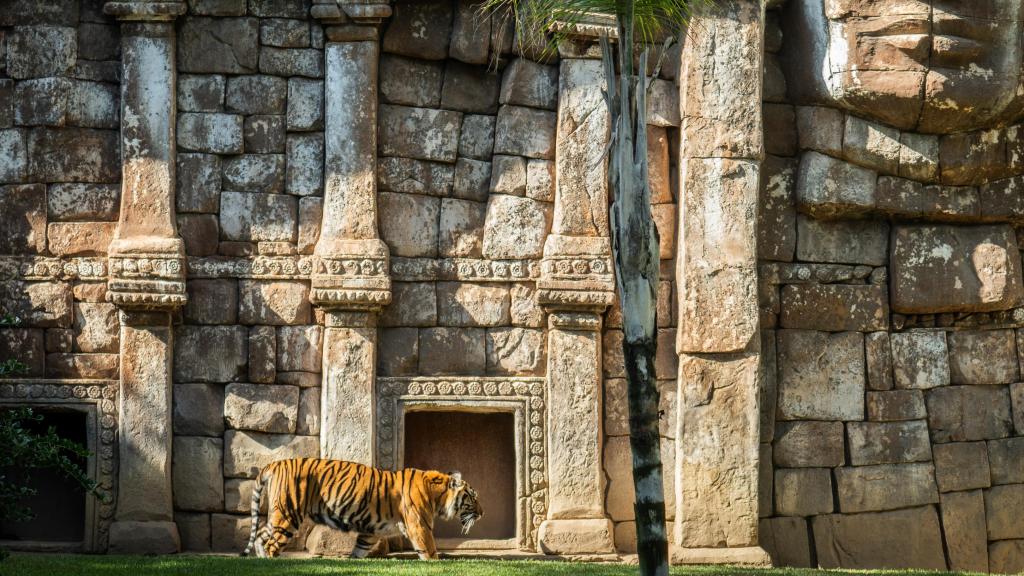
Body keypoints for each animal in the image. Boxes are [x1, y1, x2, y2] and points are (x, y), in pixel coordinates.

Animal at [241, 458, 483, 560]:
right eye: (472, 497)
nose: (482, 514)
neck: (437, 494)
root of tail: (276, 463)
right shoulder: (419, 526)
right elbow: (430, 552)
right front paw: (435, 564)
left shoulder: (371, 531)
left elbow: (359, 550)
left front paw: (352, 562)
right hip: (288, 514)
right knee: (271, 544)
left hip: (279, 514)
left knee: (261, 534)